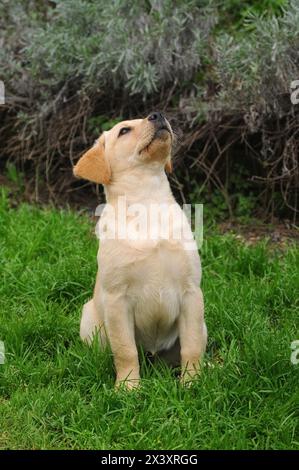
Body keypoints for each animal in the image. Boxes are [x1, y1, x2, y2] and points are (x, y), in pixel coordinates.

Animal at [74, 112, 207, 388]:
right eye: (124, 130)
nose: (158, 114)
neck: (147, 202)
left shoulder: (192, 292)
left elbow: (191, 346)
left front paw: (192, 383)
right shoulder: (117, 299)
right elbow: (125, 350)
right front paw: (128, 388)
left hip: (203, 324)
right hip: (89, 319)